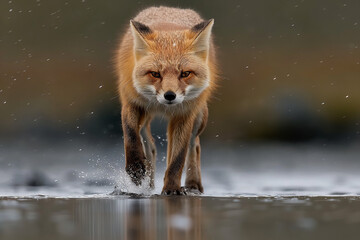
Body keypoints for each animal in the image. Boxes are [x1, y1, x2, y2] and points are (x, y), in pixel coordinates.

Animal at [115, 6, 218, 195]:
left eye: (185, 73)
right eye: (155, 74)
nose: (170, 95)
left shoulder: (184, 115)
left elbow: (177, 159)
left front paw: (171, 189)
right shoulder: (131, 103)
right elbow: (131, 136)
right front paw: (135, 169)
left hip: (199, 117)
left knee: (194, 145)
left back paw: (193, 185)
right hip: (145, 115)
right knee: (149, 144)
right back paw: (147, 180)